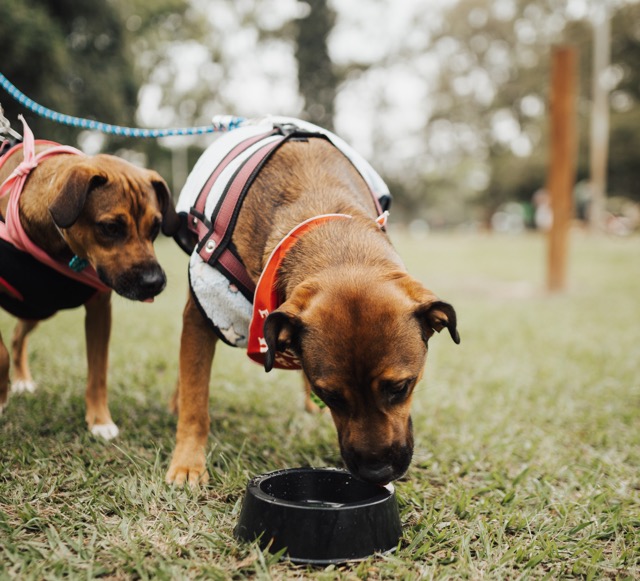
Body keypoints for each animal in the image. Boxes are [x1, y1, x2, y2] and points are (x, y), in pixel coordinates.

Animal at [0, 123, 178, 440]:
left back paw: (21, 380)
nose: (155, 282)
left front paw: (99, 421)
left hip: (39, 308)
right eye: (110, 227)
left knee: (19, 336)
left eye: (156, 227)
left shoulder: (99, 311)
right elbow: (0, 354)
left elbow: (98, 371)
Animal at [168, 120, 458, 488]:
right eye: (332, 395)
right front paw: (188, 462)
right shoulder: (202, 312)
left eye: (400, 387)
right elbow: (196, 398)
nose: (376, 472)